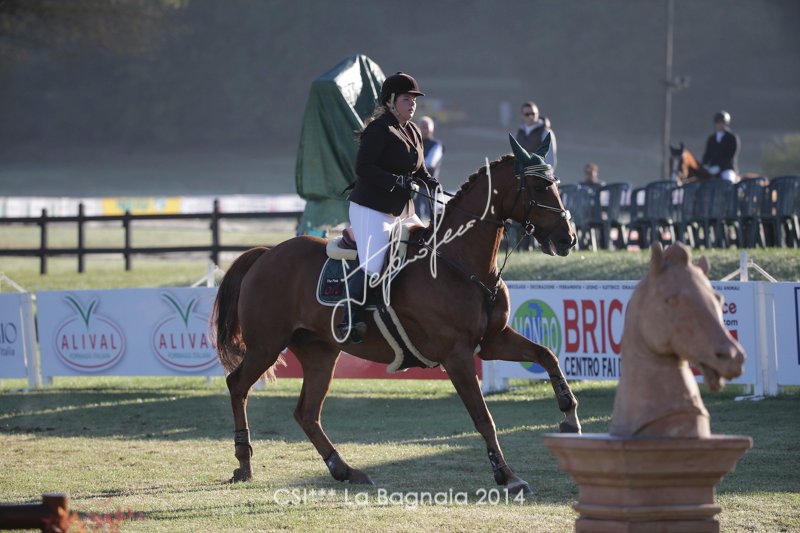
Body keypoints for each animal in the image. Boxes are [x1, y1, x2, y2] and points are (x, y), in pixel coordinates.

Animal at [212, 134, 581, 495]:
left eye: (555, 184)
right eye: (538, 187)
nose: (568, 238)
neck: (460, 261)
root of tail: (266, 254)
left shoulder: (492, 341)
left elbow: (546, 356)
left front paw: (569, 418)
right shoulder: (457, 356)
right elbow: (483, 418)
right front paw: (508, 476)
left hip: (320, 352)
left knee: (306, 413)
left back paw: (345, 470)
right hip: (266, 346)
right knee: (238, 386)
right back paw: (244, 462)